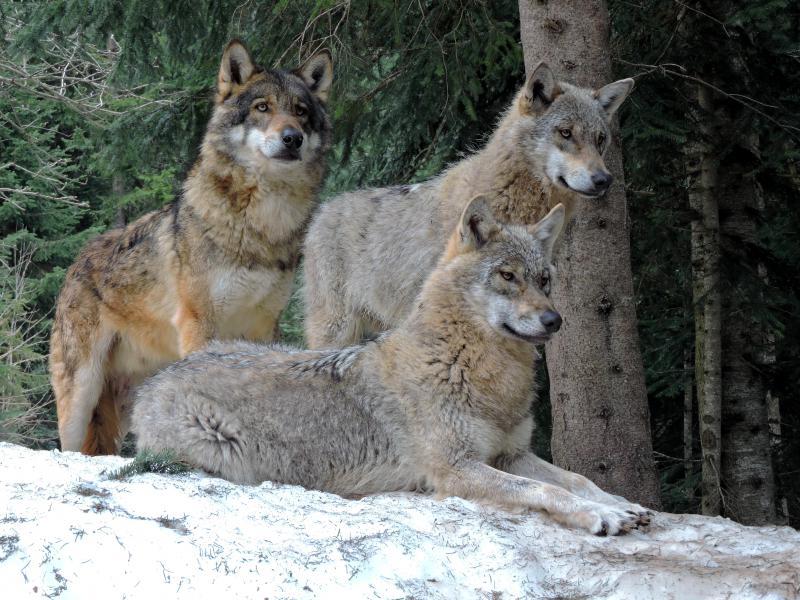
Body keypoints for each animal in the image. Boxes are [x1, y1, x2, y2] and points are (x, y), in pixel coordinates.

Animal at [50, 41, 332, 454]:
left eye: (300, 111)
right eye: (262, 107)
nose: (292, 138)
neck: (260, 226)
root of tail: (77, 263)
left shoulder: (264, 325)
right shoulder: (200, 321)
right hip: (80, 392)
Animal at [131, 199, 648, 536]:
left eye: (544, 280)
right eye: (507, 276)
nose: (554, 320)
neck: (472, 367)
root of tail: (156, 379)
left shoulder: (510, 454)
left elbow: (577, 479)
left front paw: (623, 504)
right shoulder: (455, 469)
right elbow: (544, 491)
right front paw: (599, 515)